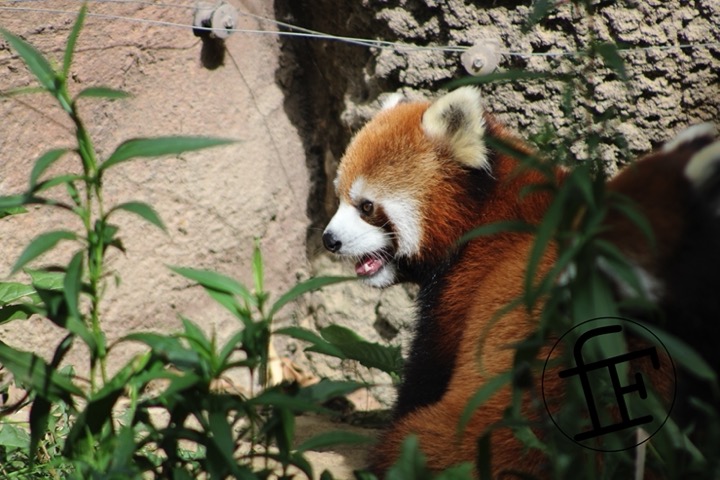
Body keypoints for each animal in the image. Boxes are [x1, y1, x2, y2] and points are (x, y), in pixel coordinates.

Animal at [322, 86, 720, 476]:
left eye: (367, 207)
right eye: (339, 197)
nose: (329, 240)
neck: (480, 211)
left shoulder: (463, 289)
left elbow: (429, 370)